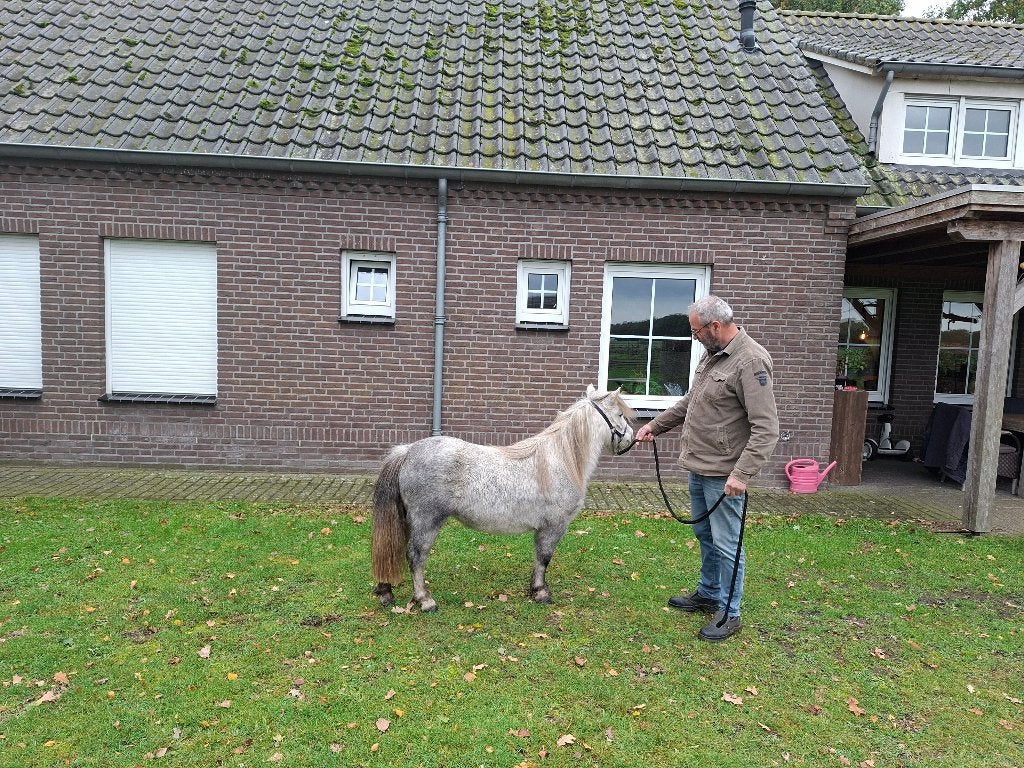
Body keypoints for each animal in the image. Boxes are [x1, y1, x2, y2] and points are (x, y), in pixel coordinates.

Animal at [371, 385, 636, 612]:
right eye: (620, 414)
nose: (631, 438)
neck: (560, 460)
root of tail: (408, 451)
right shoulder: (555, 526)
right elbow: (544, 558)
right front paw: (541, 593)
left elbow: (538, 557)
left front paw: (533, 590)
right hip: (426, 521)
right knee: (415, 556)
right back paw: (425, 600)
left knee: (392, 548)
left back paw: (385, 592)